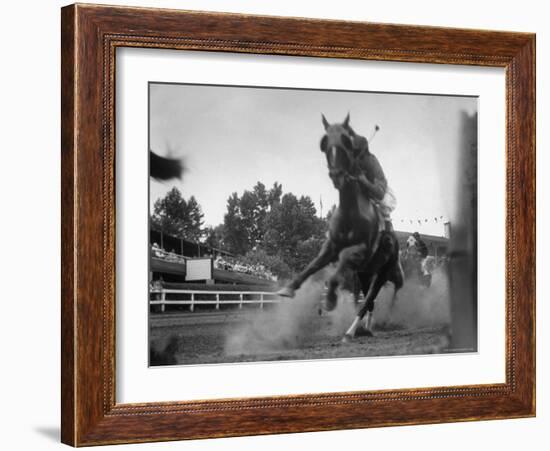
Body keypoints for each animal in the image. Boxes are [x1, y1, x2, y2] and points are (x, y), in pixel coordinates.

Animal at [278, 114, 404, 342]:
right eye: (324, 142)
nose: (336, 174)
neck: (351, 213)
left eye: (346, 141)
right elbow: (314, 264)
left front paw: (329, 299)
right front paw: (289, 288)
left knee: (368, 300)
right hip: (365, 273)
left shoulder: (359, 251)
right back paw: (366, 328)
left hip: (382, 272)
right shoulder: (332, 245)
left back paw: (351, 331)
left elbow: (338, 270)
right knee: (369, 302)